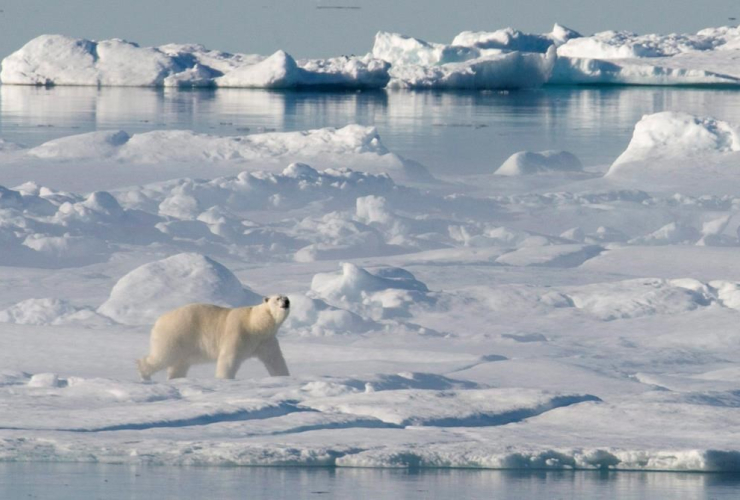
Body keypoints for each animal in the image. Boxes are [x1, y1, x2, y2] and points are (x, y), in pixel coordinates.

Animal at [137, 294, 290, 380]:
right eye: (277, 298)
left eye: (286, 297)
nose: (287, 301)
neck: (256, 324)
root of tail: (159, 320)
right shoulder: (239, 333)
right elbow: (229, 358)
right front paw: (224, 379)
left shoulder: (265, 341)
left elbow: (275, 360)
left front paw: (283, 377)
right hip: (176, 334)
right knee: (164, 356)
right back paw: (144, 373)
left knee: (179, 364)